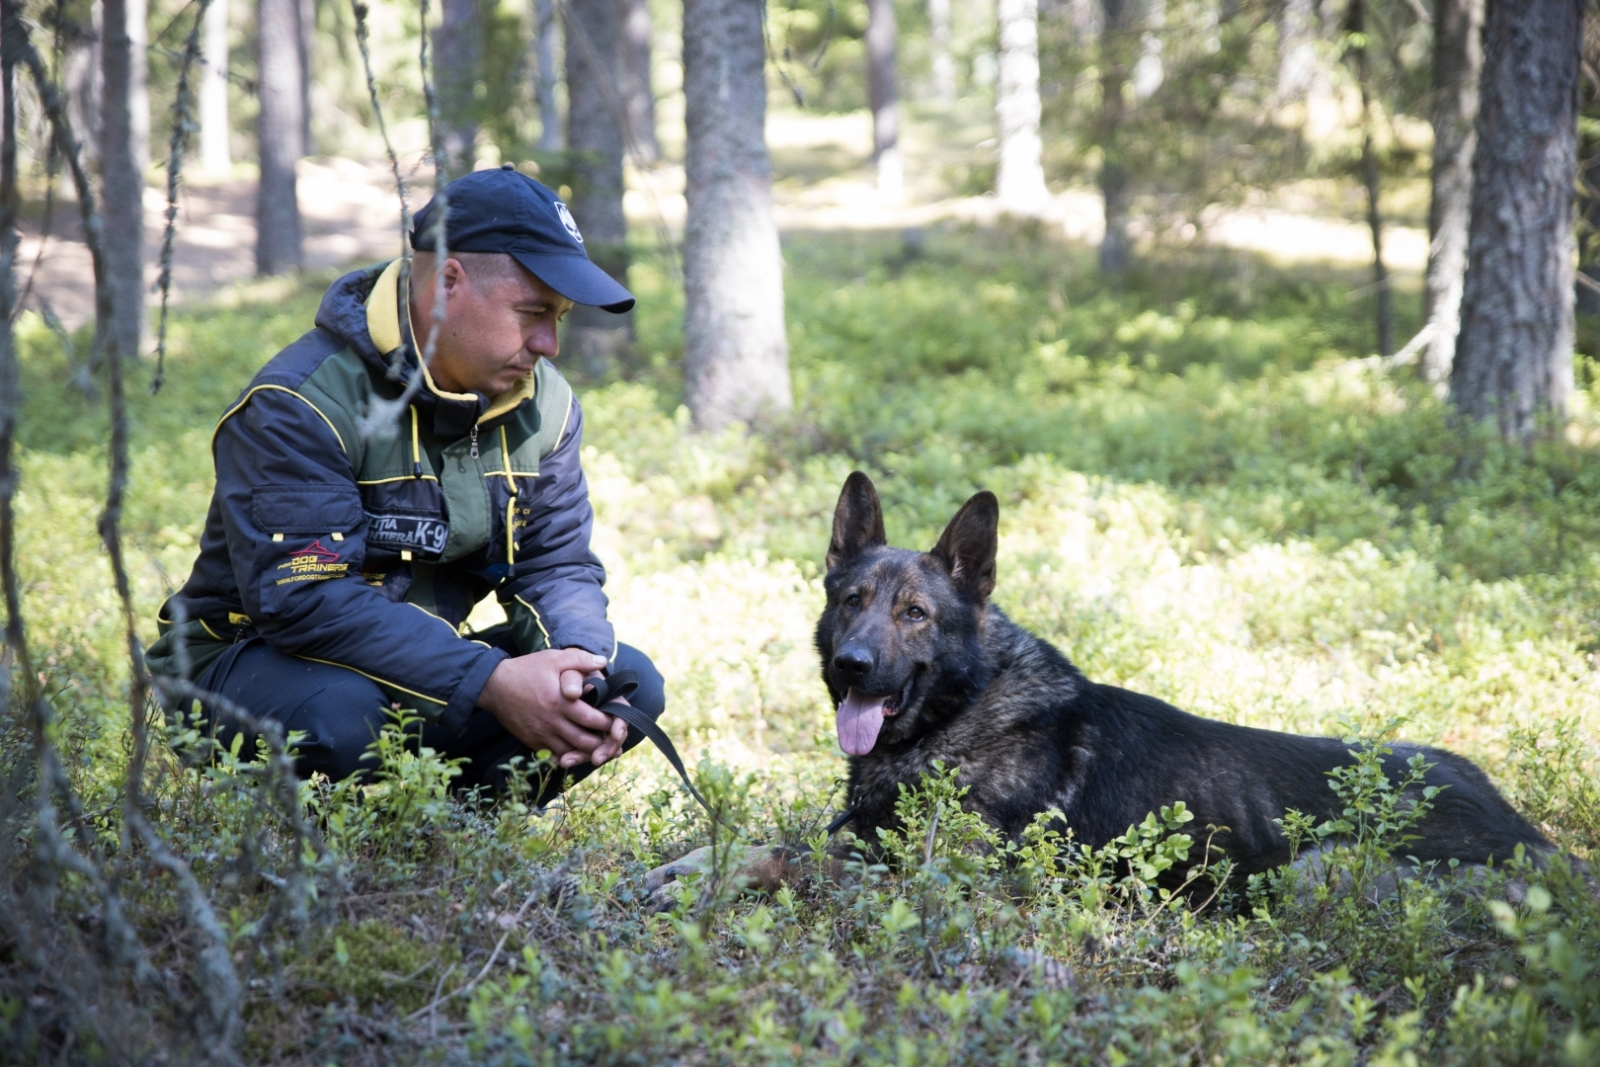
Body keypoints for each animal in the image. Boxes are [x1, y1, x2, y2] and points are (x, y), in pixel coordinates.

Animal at [643, 470, 1555, 908]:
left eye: (914, 613)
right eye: (850, 601)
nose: (852, 667)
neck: (965, 713)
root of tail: (1537, 837)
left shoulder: (937, 874)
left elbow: (788, 854)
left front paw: (717, 875)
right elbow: (757, 836)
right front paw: (689, 862)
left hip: (1311, 873)